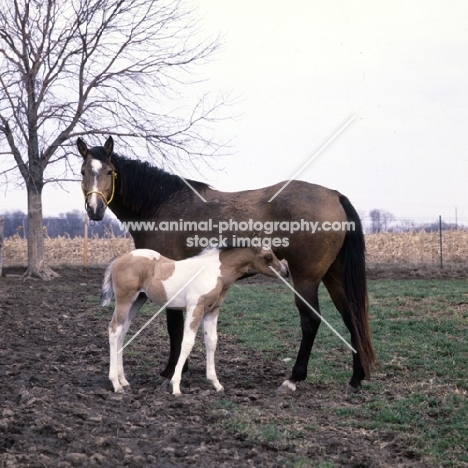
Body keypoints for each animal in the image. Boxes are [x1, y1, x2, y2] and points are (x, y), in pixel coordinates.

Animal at [100, 245, 288, 394]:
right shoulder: (195, 308)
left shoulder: (211, 311)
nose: (285, 270)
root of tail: (118, 260)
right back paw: (116, 384)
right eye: (268, 257)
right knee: (114, 330)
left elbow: (211, 341)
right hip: (125, 300)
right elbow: (187, 343)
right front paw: (176, 386)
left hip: (137, 301)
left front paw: (216, 383)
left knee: (122, 332)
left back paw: (123, 380)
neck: (213, 271)